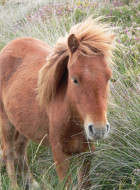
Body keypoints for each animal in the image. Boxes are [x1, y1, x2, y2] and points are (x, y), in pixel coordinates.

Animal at [0, 17, 114, 189]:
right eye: (74, 79)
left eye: (108, 77)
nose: (98, 129)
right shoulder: (60, 156)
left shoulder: (86, 153)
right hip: (6, 122)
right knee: (9, 153)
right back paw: (15, 185)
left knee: (20, 149)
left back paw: (33, 183)